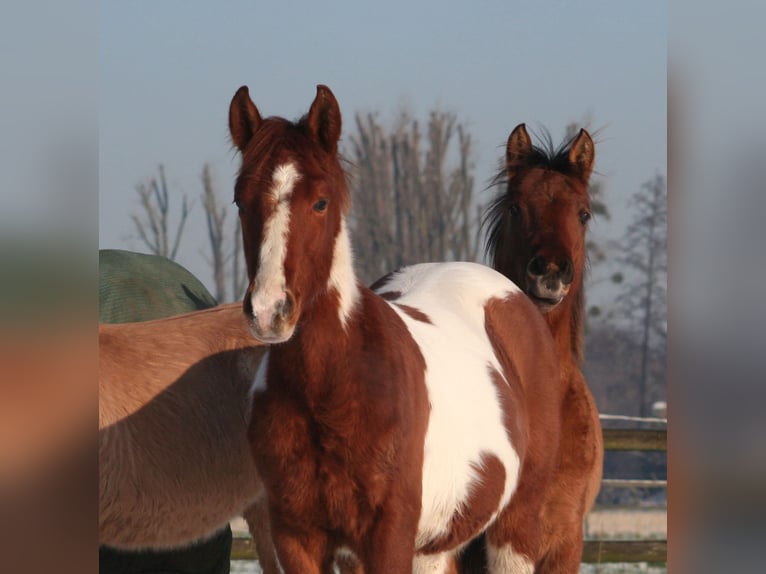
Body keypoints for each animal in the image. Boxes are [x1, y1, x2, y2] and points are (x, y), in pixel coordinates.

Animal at [228, 84, 563, 573]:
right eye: (240, 201)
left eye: (321, 202)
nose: (270, 311)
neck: (332, 389)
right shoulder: (296, 537)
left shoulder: (389, 536)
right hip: (433, 549)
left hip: (514, 529)